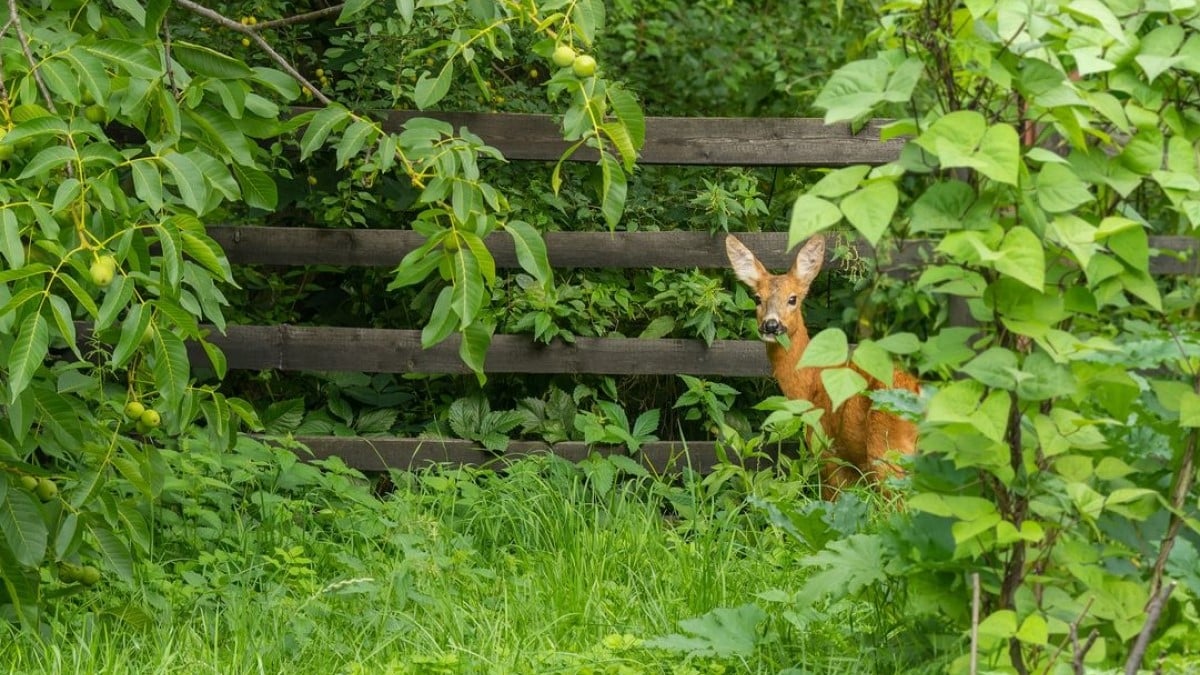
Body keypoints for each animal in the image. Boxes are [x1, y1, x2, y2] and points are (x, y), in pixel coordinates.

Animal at [720, 234, 916, 497]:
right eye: (758, 298)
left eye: (792, 299)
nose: (771, 325)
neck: (811, 385)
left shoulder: (826, 450)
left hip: (886, 452)